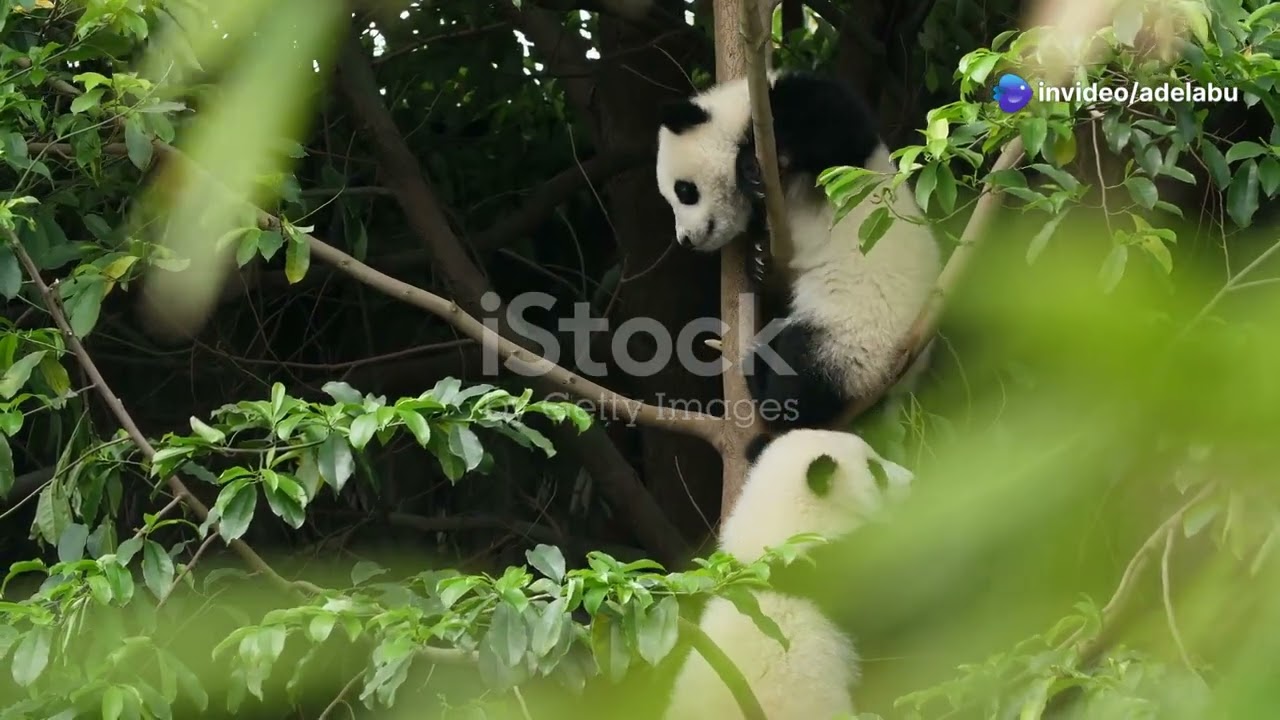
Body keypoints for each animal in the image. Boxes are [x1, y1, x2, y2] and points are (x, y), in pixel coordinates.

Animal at [655, 70, 942, 432]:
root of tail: (905, 380)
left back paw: (760, 374)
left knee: (800, 373)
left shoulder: (806, 107)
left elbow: (836, 132)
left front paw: (752, 166)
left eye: (684, 191)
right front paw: (758, 260)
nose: (686, 240)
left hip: (859, 334)